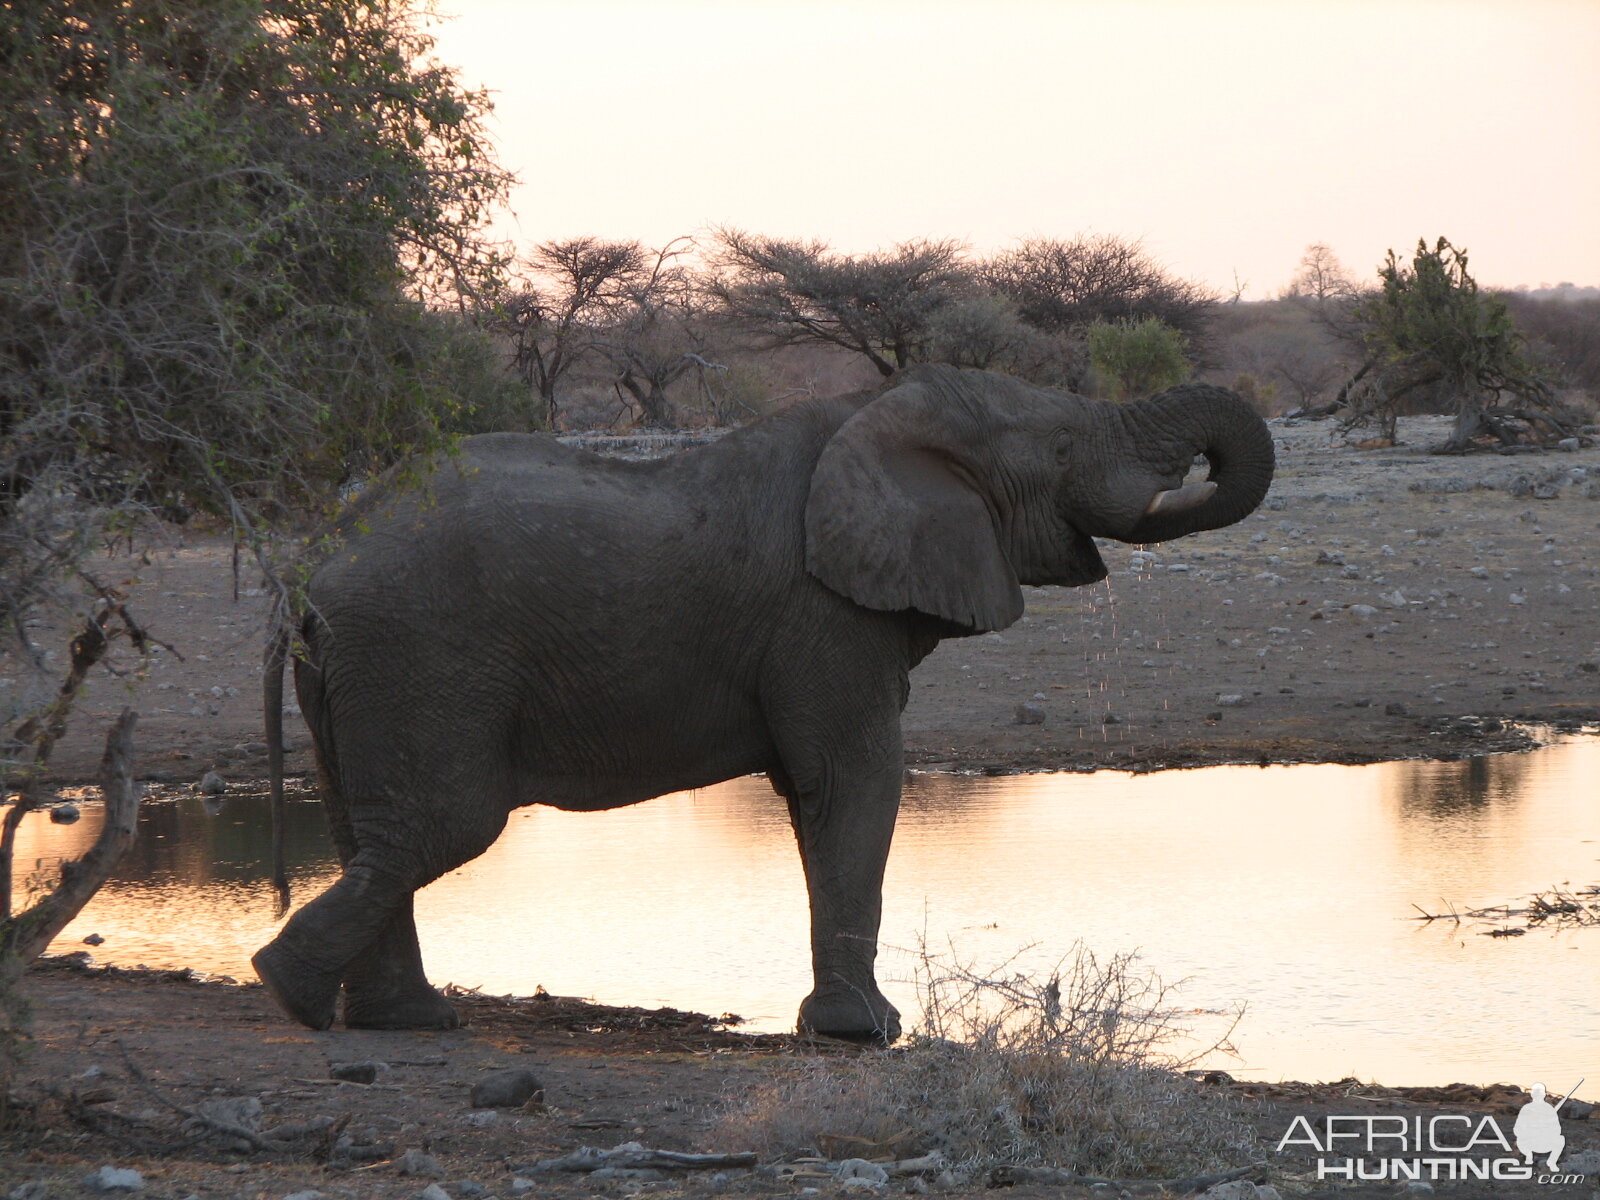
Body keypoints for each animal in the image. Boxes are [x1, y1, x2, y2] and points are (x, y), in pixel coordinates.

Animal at [249, 366, 1273, 1043]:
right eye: (1061, 448)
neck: (877, 413)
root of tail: (318, 555)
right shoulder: (822, 613)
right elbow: (857, 781)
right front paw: (870, 1033)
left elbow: (817, 793)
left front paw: (846, 1027)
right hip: (421, 655)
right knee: (445, 823)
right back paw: (293, 994)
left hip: (363, 669)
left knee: (370, 828)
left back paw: (394, 1020)